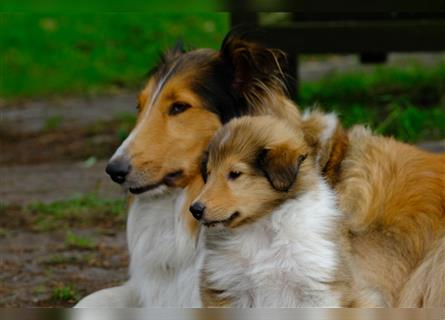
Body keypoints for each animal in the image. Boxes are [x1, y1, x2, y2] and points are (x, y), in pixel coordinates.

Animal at [191, 115, 358, 308]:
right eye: (209, 173)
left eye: (235, 173)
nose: (194, 209)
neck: (261, 226)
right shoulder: (225, 284)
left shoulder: (318, 287)